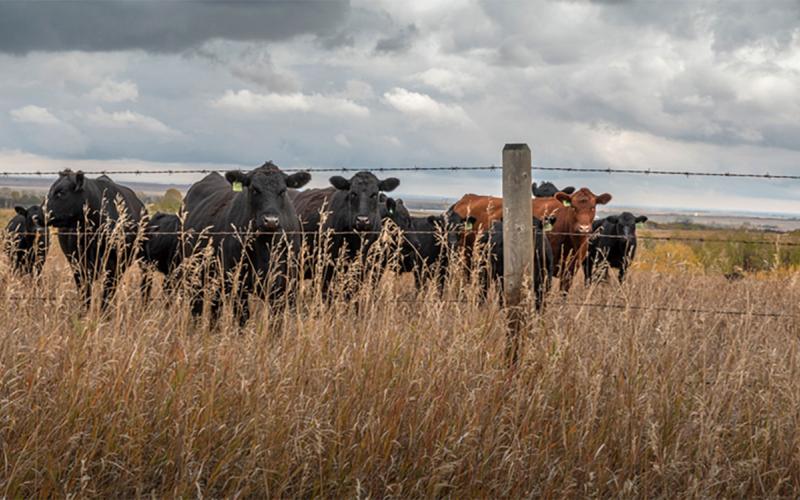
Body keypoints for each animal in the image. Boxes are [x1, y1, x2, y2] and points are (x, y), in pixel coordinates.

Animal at [45, 171, 145, 308]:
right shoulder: (79, 264)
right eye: (50, 192)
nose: (41, 214)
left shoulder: (114, 265)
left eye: (61, 193)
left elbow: (107, 295)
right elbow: (85, 294)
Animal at [182, 162, 311, 325]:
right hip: (195, 272)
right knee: (197, 305)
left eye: (283, 191)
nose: (270, 220)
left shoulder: (284, 287)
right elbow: (243, 319)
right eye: (254, 189)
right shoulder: (239, 286)